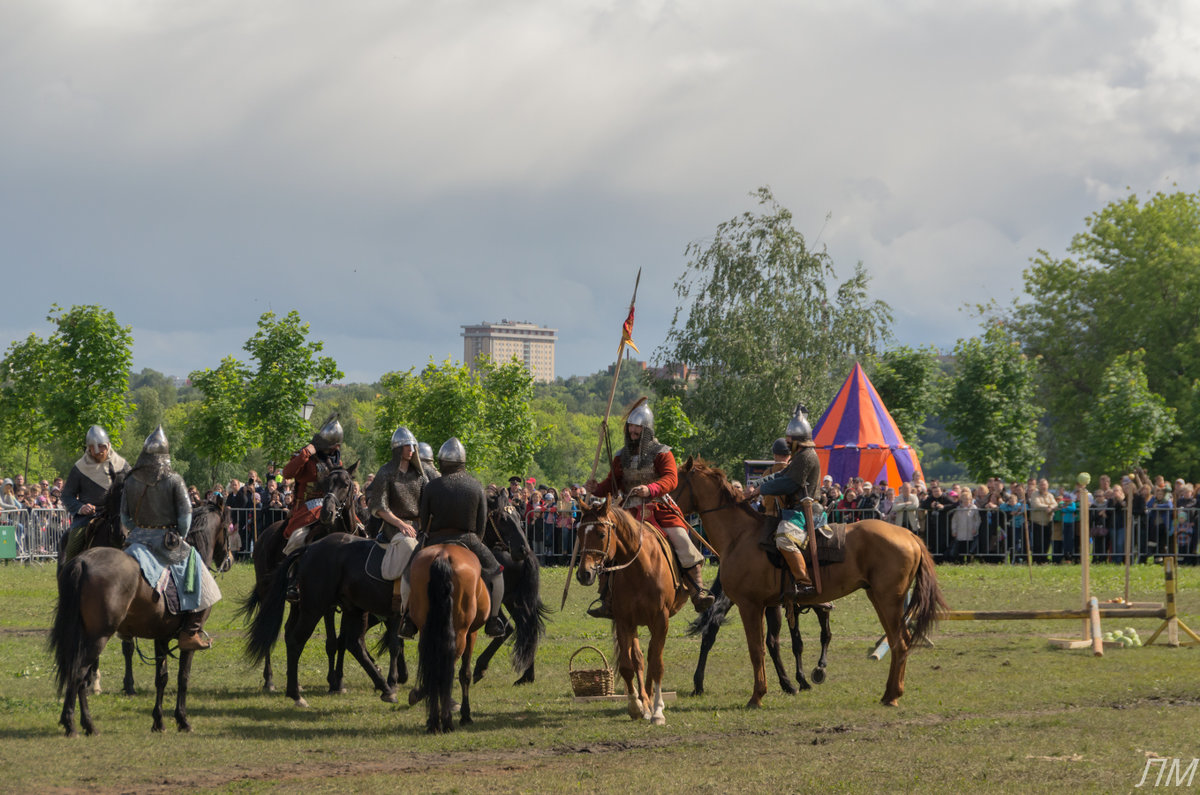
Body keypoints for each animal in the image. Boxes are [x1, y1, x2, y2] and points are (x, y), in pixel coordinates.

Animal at [49, 501, 231, 739]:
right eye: (228, 527)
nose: (229, 560)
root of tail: (82, 561)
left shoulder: (161, 638)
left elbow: (161, 678)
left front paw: (159, 721)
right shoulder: (187, 642)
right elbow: (183, 678)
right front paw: (182, 720)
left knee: (79, 675)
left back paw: (86, 724)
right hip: (98, 637)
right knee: (79, 673)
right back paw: (73, 724)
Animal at [470, 489, 549, 686]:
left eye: (518, 517)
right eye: (504, 519)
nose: (522, 549)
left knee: (511, 629)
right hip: (513, 600)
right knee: (526, 629)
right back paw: (526, 676)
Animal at [576, 504, 691, 730]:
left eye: (601, 534)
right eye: (579, 533)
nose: (584, 574)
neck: (640, 567)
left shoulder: (661, 621)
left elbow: (657, 664)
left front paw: (658, 711)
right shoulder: (624, 621)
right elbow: (628, 666)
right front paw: (636, 707)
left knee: (651, 657)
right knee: (639, 658)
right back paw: (645, 702)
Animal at [686, 574, 835, 696]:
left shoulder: (793, 611)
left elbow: (798, 644)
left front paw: (803, 678)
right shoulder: (818, 609)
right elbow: (825, 635)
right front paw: (819, 669)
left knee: (709, 635)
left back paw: (698, 685)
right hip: (771, 608)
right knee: (772, 642)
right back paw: (787, 685)